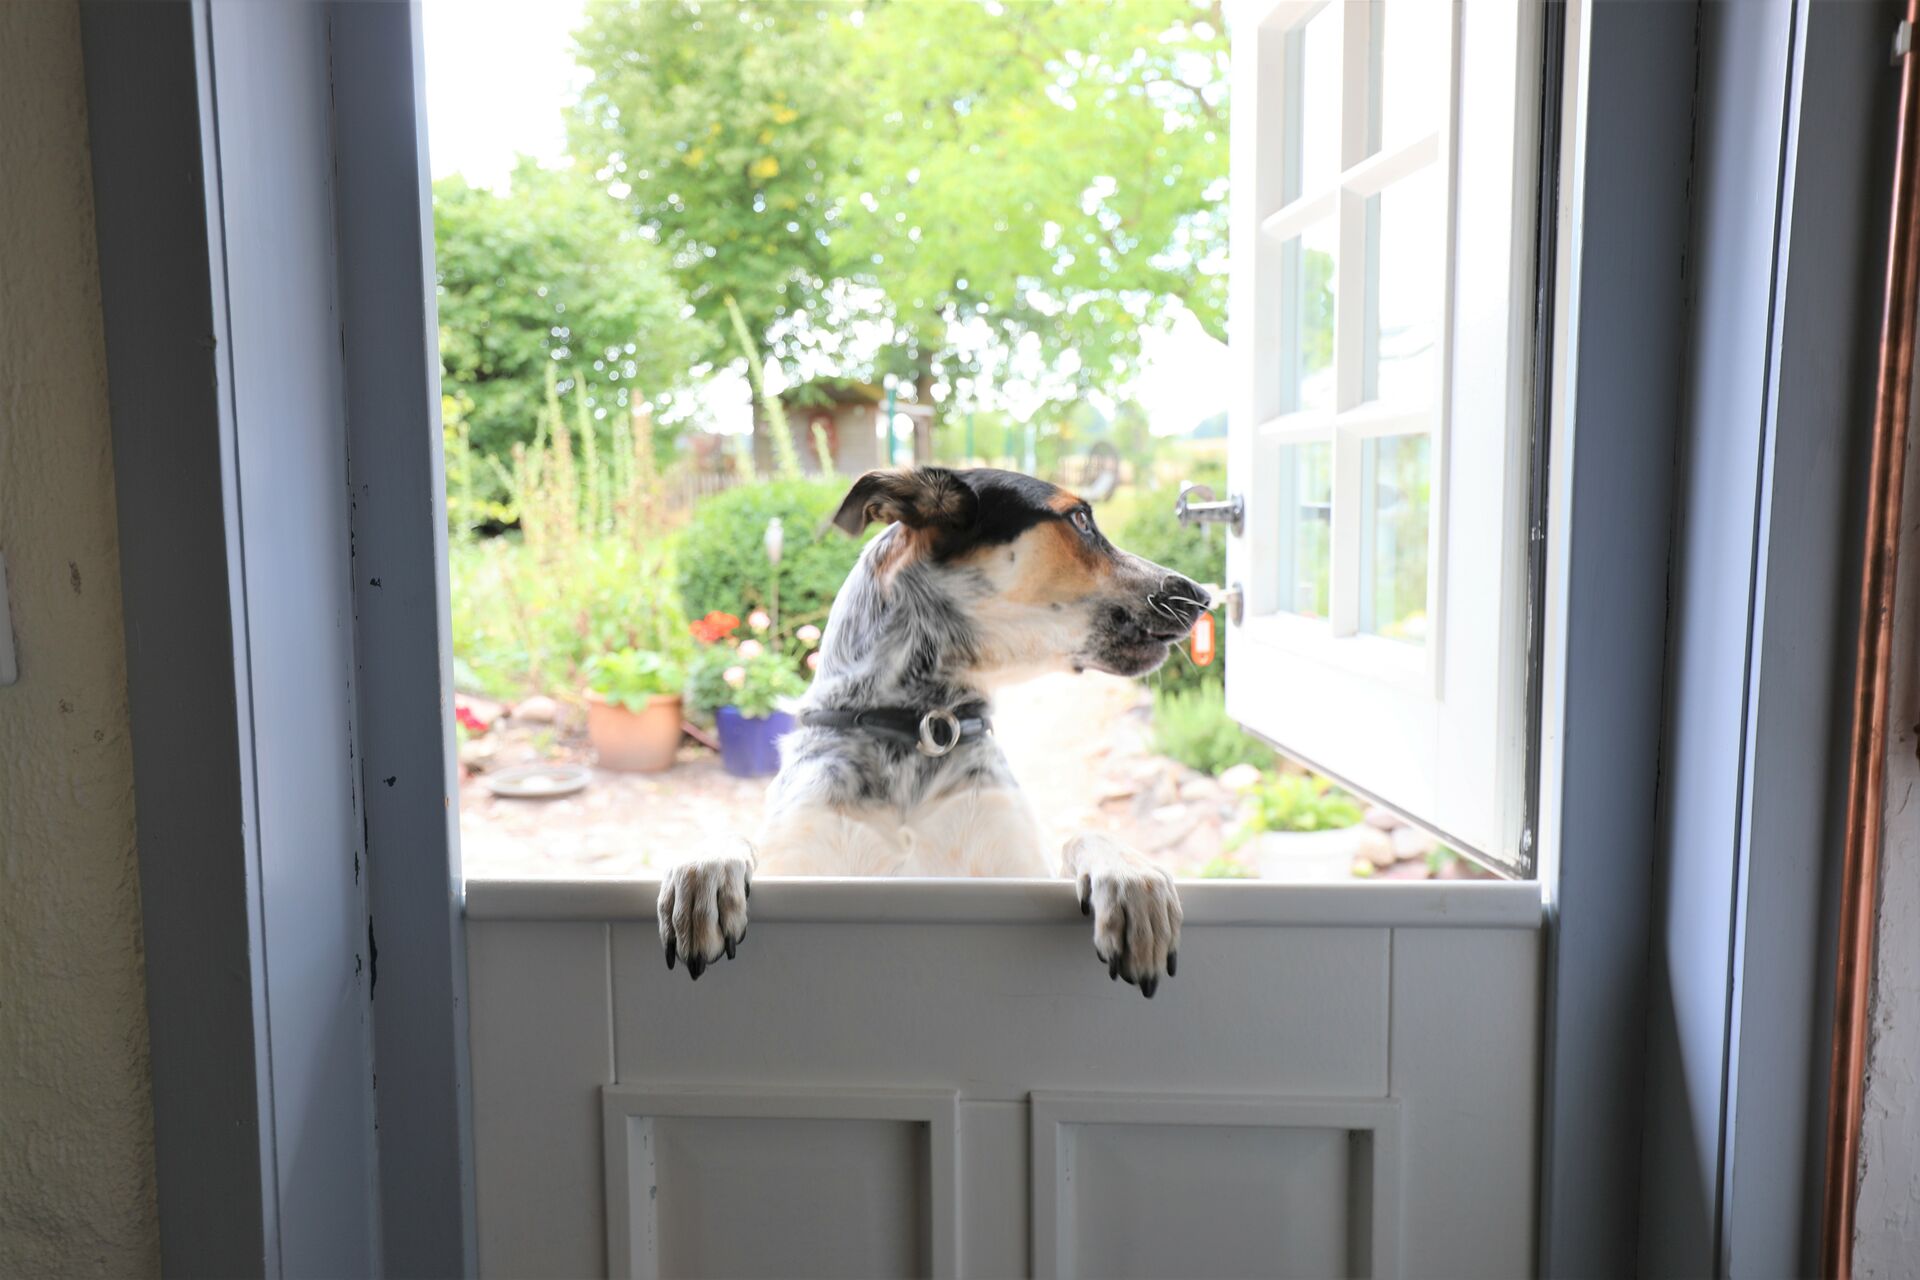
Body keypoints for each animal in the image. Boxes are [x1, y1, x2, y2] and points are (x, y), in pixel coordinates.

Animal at [652, 470, 1205, 997]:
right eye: (1081, 520)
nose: (1203, 595)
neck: (922, 728)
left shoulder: (1020, 868)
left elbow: (1083, 836)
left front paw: (1132, 879)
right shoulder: (800, 863)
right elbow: (739, 836)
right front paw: (704, 869)